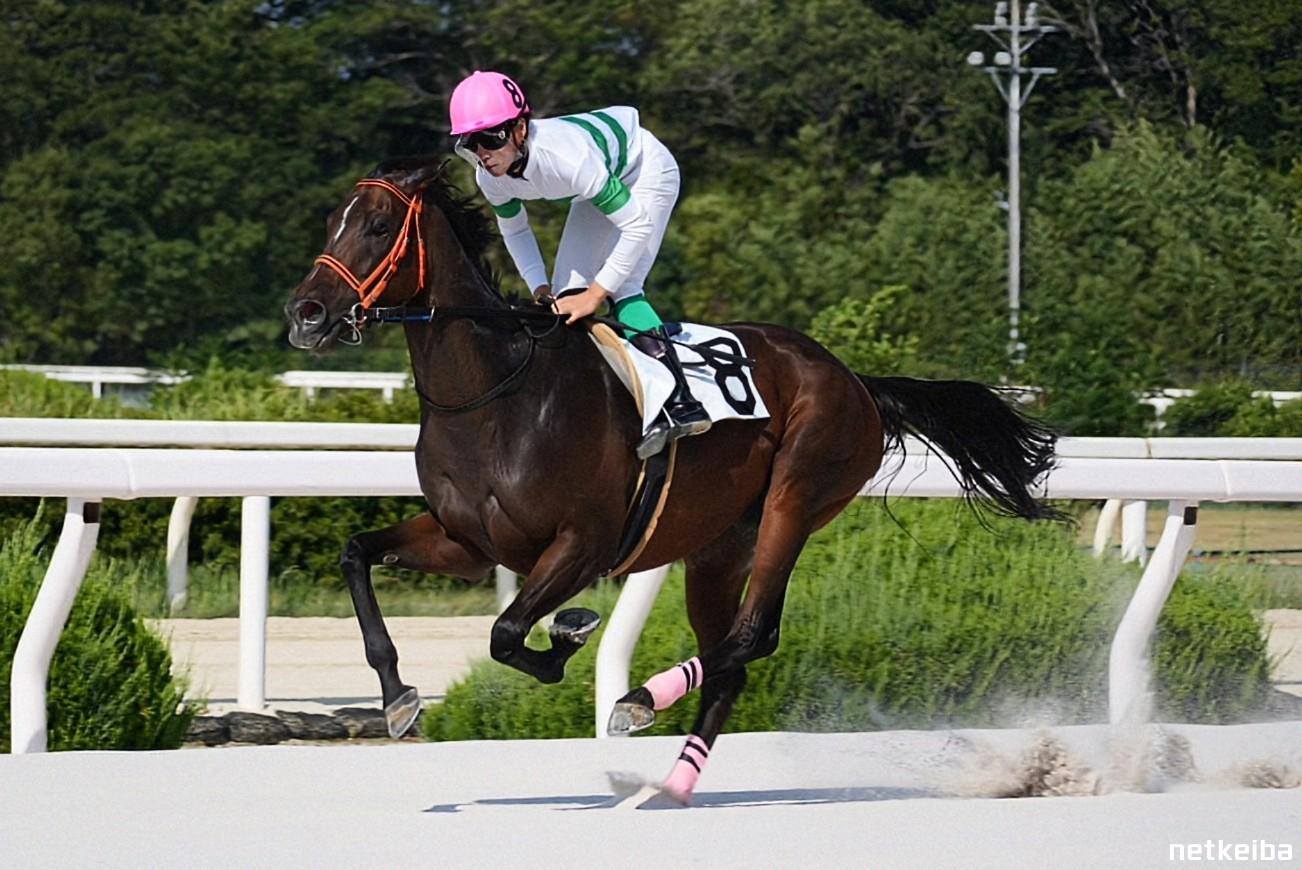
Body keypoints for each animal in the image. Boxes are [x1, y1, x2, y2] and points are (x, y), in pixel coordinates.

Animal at [284, 157, 1061, 803]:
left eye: (378, 226)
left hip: (796, 496)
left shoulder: (583, 545)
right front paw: (397, 697)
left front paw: (568, 638)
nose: (306, 314)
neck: (497, 394)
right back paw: (673, 785)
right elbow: (358, 556)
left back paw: (640, 702)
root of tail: (856, 381)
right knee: (735, 660)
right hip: (717, 548)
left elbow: (507, 633)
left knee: (753, 634)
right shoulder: (468, 542)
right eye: (330, 223)